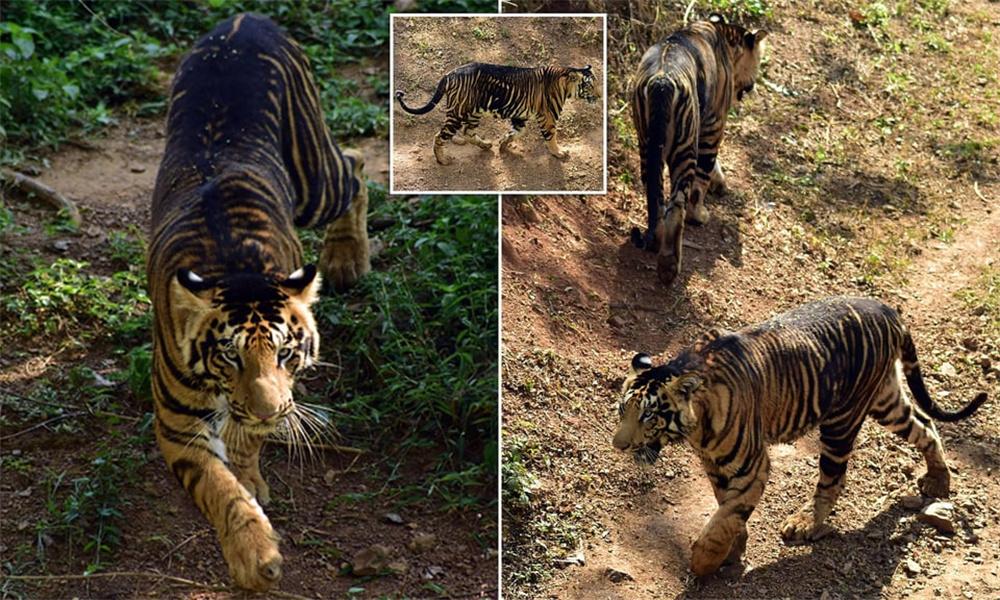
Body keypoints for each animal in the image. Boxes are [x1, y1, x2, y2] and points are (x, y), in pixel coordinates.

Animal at [146, 12, 370, 592]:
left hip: (316, 182)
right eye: (229, 356)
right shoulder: (176, 423)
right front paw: (256, 554)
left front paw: (251, 473)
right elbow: (218, 488)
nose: (273, 411)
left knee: (357, 163)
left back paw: (346, 257)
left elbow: (245, 442)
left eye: (287, 353)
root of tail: (243, 19)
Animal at [392, 62, 596, 165]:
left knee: (467, 132)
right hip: (458, 113)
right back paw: (443, 160)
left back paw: (486, 145)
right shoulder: (548, 116)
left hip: (473, 112)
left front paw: (503, 145)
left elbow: (517, 132)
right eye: (590, 86)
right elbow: (551, 136)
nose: (600, 96)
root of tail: (449, 73)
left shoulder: (520, 116)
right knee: (440, 136)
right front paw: (559, 153)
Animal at [612, 298, 988, 580]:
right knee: (924, 424)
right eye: (622, 409)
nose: (619, 445)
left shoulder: (751, 465)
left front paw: (704, 563)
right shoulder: (716, 465)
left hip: (841, 422)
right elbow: (726, 509)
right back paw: (938, 480)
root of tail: (887, 309)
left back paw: (804, 523)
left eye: (648, 415)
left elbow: (727, 515)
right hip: (886, 400)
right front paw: (733, 551)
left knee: (832, 480)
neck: (696, 427)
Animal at [632, 13, 764, 286]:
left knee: (655, 196)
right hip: (683, 150)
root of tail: (661, 81)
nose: (752, 87)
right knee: (677, 204)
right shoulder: (714, 124)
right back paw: (669, 266)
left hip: (646, 145)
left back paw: (656, 242)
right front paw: (701, 214)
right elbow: (704, 175)